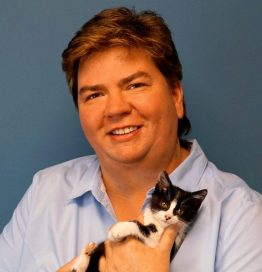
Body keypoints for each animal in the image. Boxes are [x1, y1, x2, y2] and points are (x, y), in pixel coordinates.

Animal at [70, 171, 208, 270]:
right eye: (164, 204)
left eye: (179, 211)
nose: (168, 216)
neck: (158, 224)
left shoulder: (156, 242)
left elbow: (140, 227)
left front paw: (118, 230)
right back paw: (86, 252)